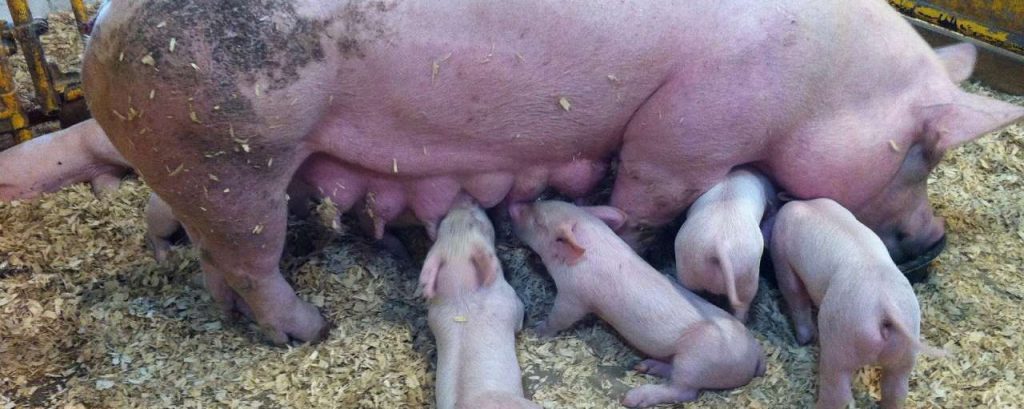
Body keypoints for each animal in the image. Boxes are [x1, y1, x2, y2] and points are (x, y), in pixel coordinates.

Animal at [420, 198, 538, 409]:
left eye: (444, 223)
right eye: (476, 223)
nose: (463, 200)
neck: (461, 296)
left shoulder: (433, 315)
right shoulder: (509, 301)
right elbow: (519, 316)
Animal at [510, 200, 765, 408]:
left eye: (538, 221)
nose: (513, 206)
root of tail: (755, 356)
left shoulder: (574, 296)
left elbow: (560, 317)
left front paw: (537, 329)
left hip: (697, 360)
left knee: (684, 390)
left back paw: (633, 398)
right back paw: (644, 367)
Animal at [770, 198, 945, 409]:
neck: (809, 206)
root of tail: (884, 309)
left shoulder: (782, 256)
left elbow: (794, 294)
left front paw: (803, 340)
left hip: (841, 342)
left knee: (838, 391)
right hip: (905, 350)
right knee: (896, 390)